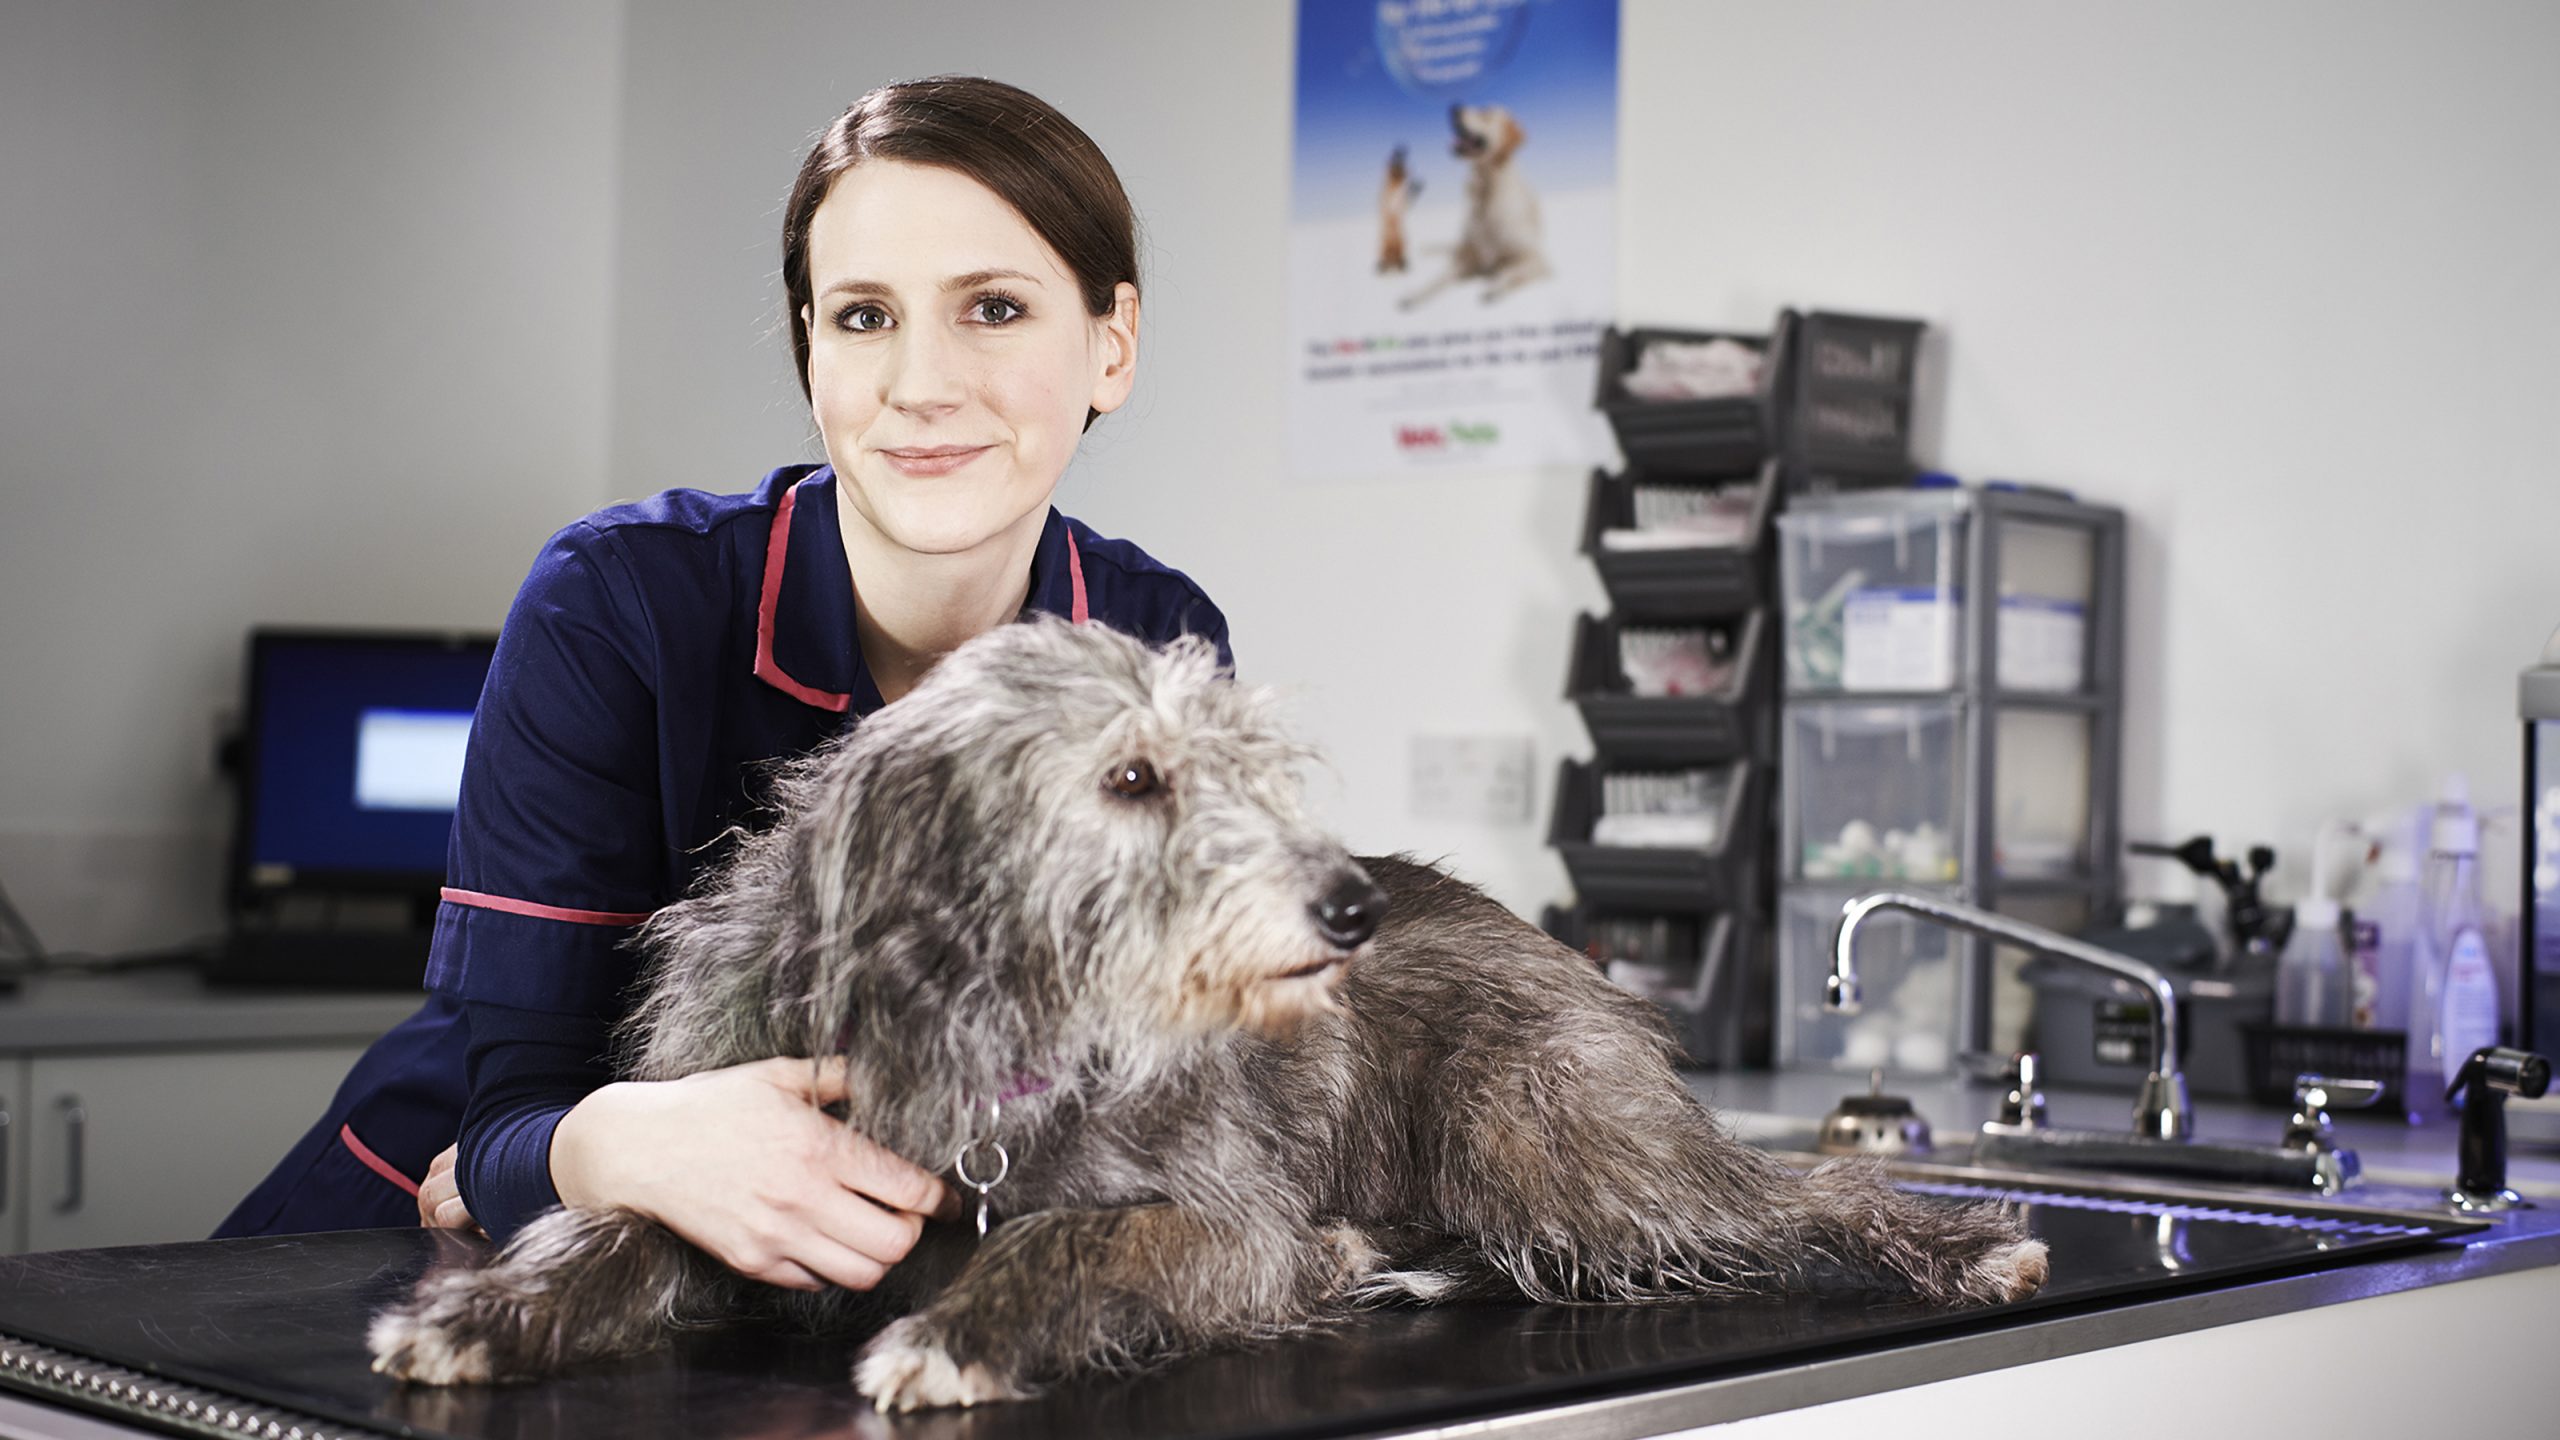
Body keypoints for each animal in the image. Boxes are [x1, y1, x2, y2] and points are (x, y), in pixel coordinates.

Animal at [366, 614, 2037, 1404]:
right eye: (1129, 776)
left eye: (1246, 767)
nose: (1353, 910)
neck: (993, 1021)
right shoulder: (742, 1150)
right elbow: (616, 1220)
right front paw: (478, 1313)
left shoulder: (1229, 1225)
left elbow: (1083, 1237)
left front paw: (962, 1334)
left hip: (1550, 1143)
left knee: (1785, 1195)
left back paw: (1967, 1247)